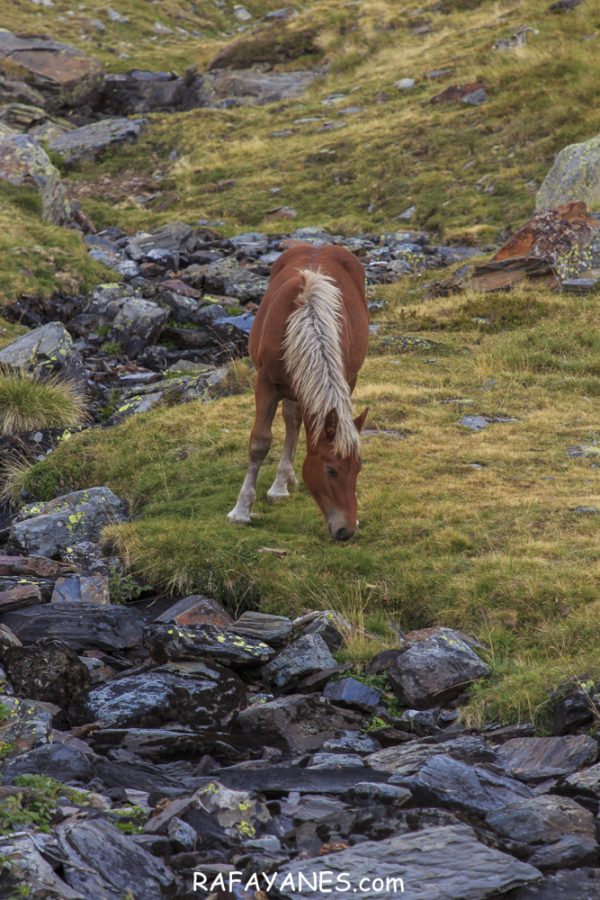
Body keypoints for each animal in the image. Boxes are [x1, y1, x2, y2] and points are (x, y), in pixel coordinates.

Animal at [229, 241, 370, 540]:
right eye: (331, 470)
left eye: (358, 468)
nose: (347, 531)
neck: (306, 321)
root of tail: (318, 245)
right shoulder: (265, 383)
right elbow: (259, 443)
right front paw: (241, 510)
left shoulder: (346, 379)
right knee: (292, 421)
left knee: (294, 421)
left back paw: (283, 482)